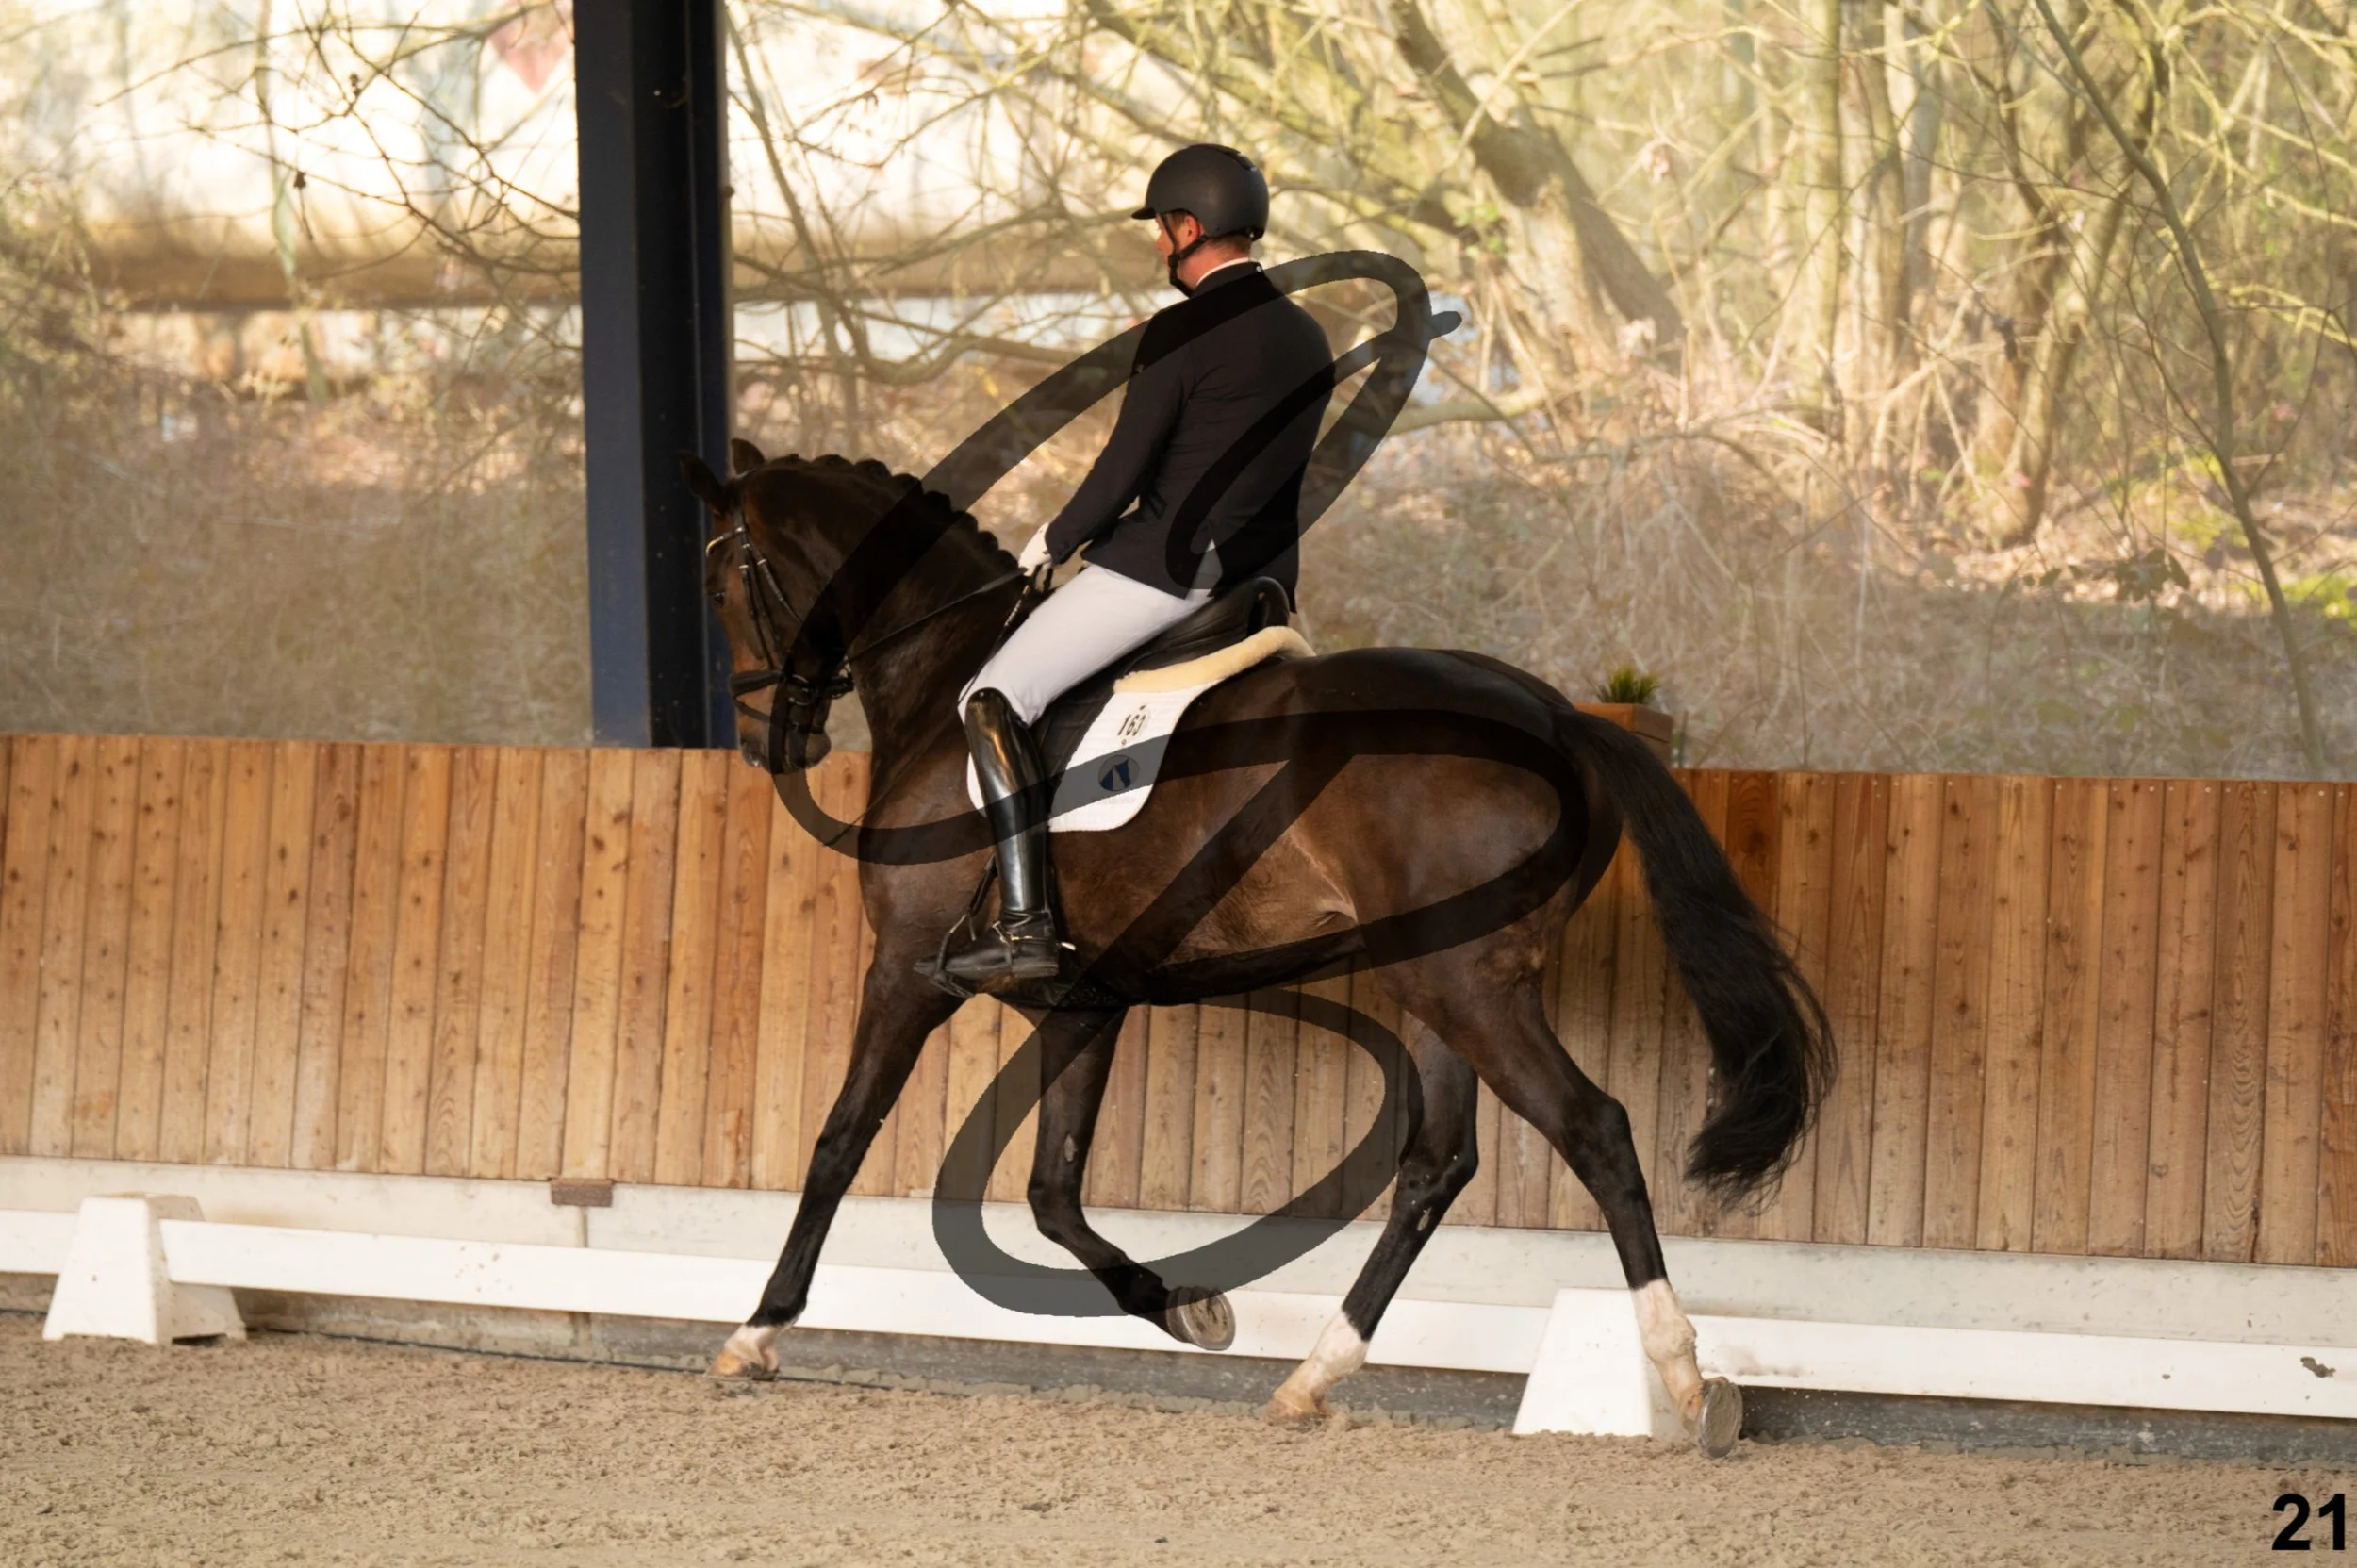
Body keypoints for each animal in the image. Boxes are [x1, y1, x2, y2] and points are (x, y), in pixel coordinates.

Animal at [680, 442, 1831, 1456]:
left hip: (1465, 984)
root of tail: (1553, 712)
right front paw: (1184, 1304)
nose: (768, 742)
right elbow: (1053, 1192)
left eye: (723, 579)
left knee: (1592, 1128)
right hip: (1441, 983)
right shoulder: (1083, 1000)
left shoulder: (905, 971)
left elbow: (839, 1141)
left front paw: (756, 1332)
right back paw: (1312, 1375)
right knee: (1436, 1163)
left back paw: (1685, 1380)